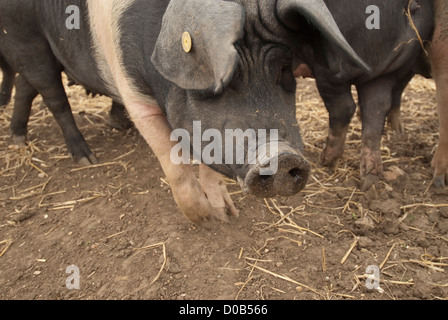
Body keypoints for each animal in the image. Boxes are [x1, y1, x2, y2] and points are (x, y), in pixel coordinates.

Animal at [0, 0, 368, 224]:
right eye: (221, 78)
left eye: (284, 68)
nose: (282, 156)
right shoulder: (135, 94)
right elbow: (172, 158)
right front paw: (201, 218)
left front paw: (226, 215)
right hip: (25, 39)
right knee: (54, 97)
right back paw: (85, 158)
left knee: (27, 90)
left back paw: (18, 139)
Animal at [294, 0, 434, 190]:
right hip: (385, 70)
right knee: (376, 109)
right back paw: (370, 181)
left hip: (332, 61)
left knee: (344, 107)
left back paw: (324, 160)